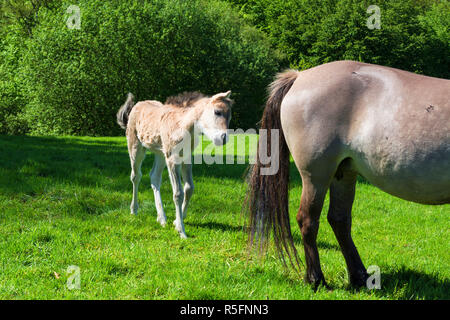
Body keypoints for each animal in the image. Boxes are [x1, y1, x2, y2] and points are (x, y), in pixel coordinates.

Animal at [117, 90, 232, 238]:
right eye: (217, 112)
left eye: (230, 115)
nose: (223, 139)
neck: (182, 126)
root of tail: (137, 105)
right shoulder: (172, 159)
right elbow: (178, 193)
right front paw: (181, 231)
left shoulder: (187, 157)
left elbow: (189, 188)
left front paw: (177, 221)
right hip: (135, 146)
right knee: (136, 176)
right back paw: (134, 210)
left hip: (160, 153)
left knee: (154, 177)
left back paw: (162, 218)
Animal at [248, 60, 448, 288]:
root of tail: (299, 76)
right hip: (316, 176)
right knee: (308, 220)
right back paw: (316, 279)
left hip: (343, 174)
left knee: (339, 220)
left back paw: (360, 277)